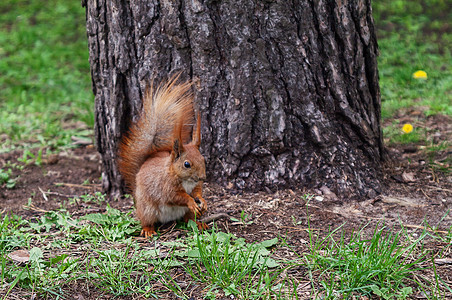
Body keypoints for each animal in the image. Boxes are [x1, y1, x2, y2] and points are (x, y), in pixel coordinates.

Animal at [117, 76, 207, 238]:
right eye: (186, 164)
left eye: (203, 159)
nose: (203, 177)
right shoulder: (165, 187)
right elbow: (177, 197)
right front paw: (191, 201)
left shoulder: (196, 185)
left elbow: (197, 192)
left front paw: (202, 201)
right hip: (147, 209)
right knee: (146, 220)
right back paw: (148, 230)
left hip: (185, 213)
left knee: (188, 219)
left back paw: (198, 223)